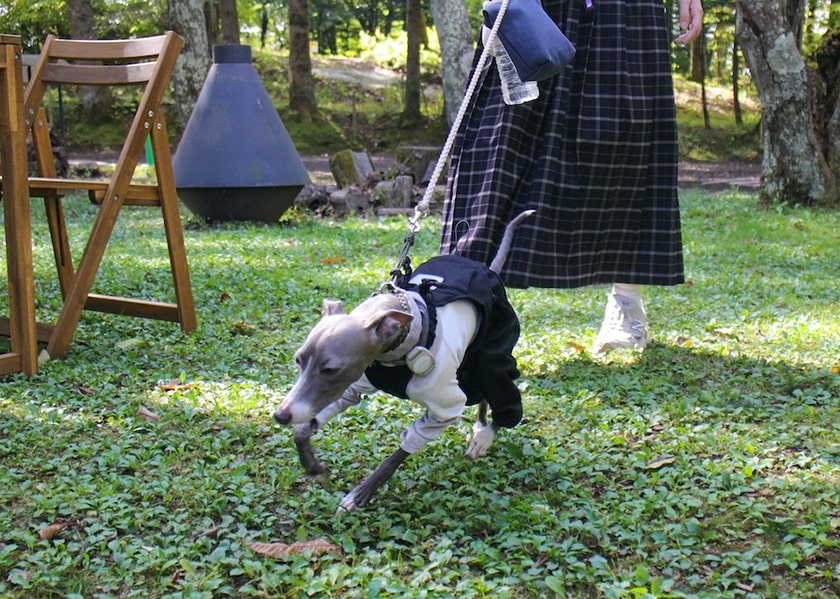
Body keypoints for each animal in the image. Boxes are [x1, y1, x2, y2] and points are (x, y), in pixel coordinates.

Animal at [276, 211, 540, 510]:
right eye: (298, 360)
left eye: (330, 369)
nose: (280, 415)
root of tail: (489, 270)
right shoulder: (350, 388)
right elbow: (306, 426)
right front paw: (313, 465)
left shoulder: (444, 408)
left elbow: (398, 454)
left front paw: (361, 493)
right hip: (468, 363)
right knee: (482, 393)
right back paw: (479, 427)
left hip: (492, 348)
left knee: (500, 390)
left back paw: (484, 436)